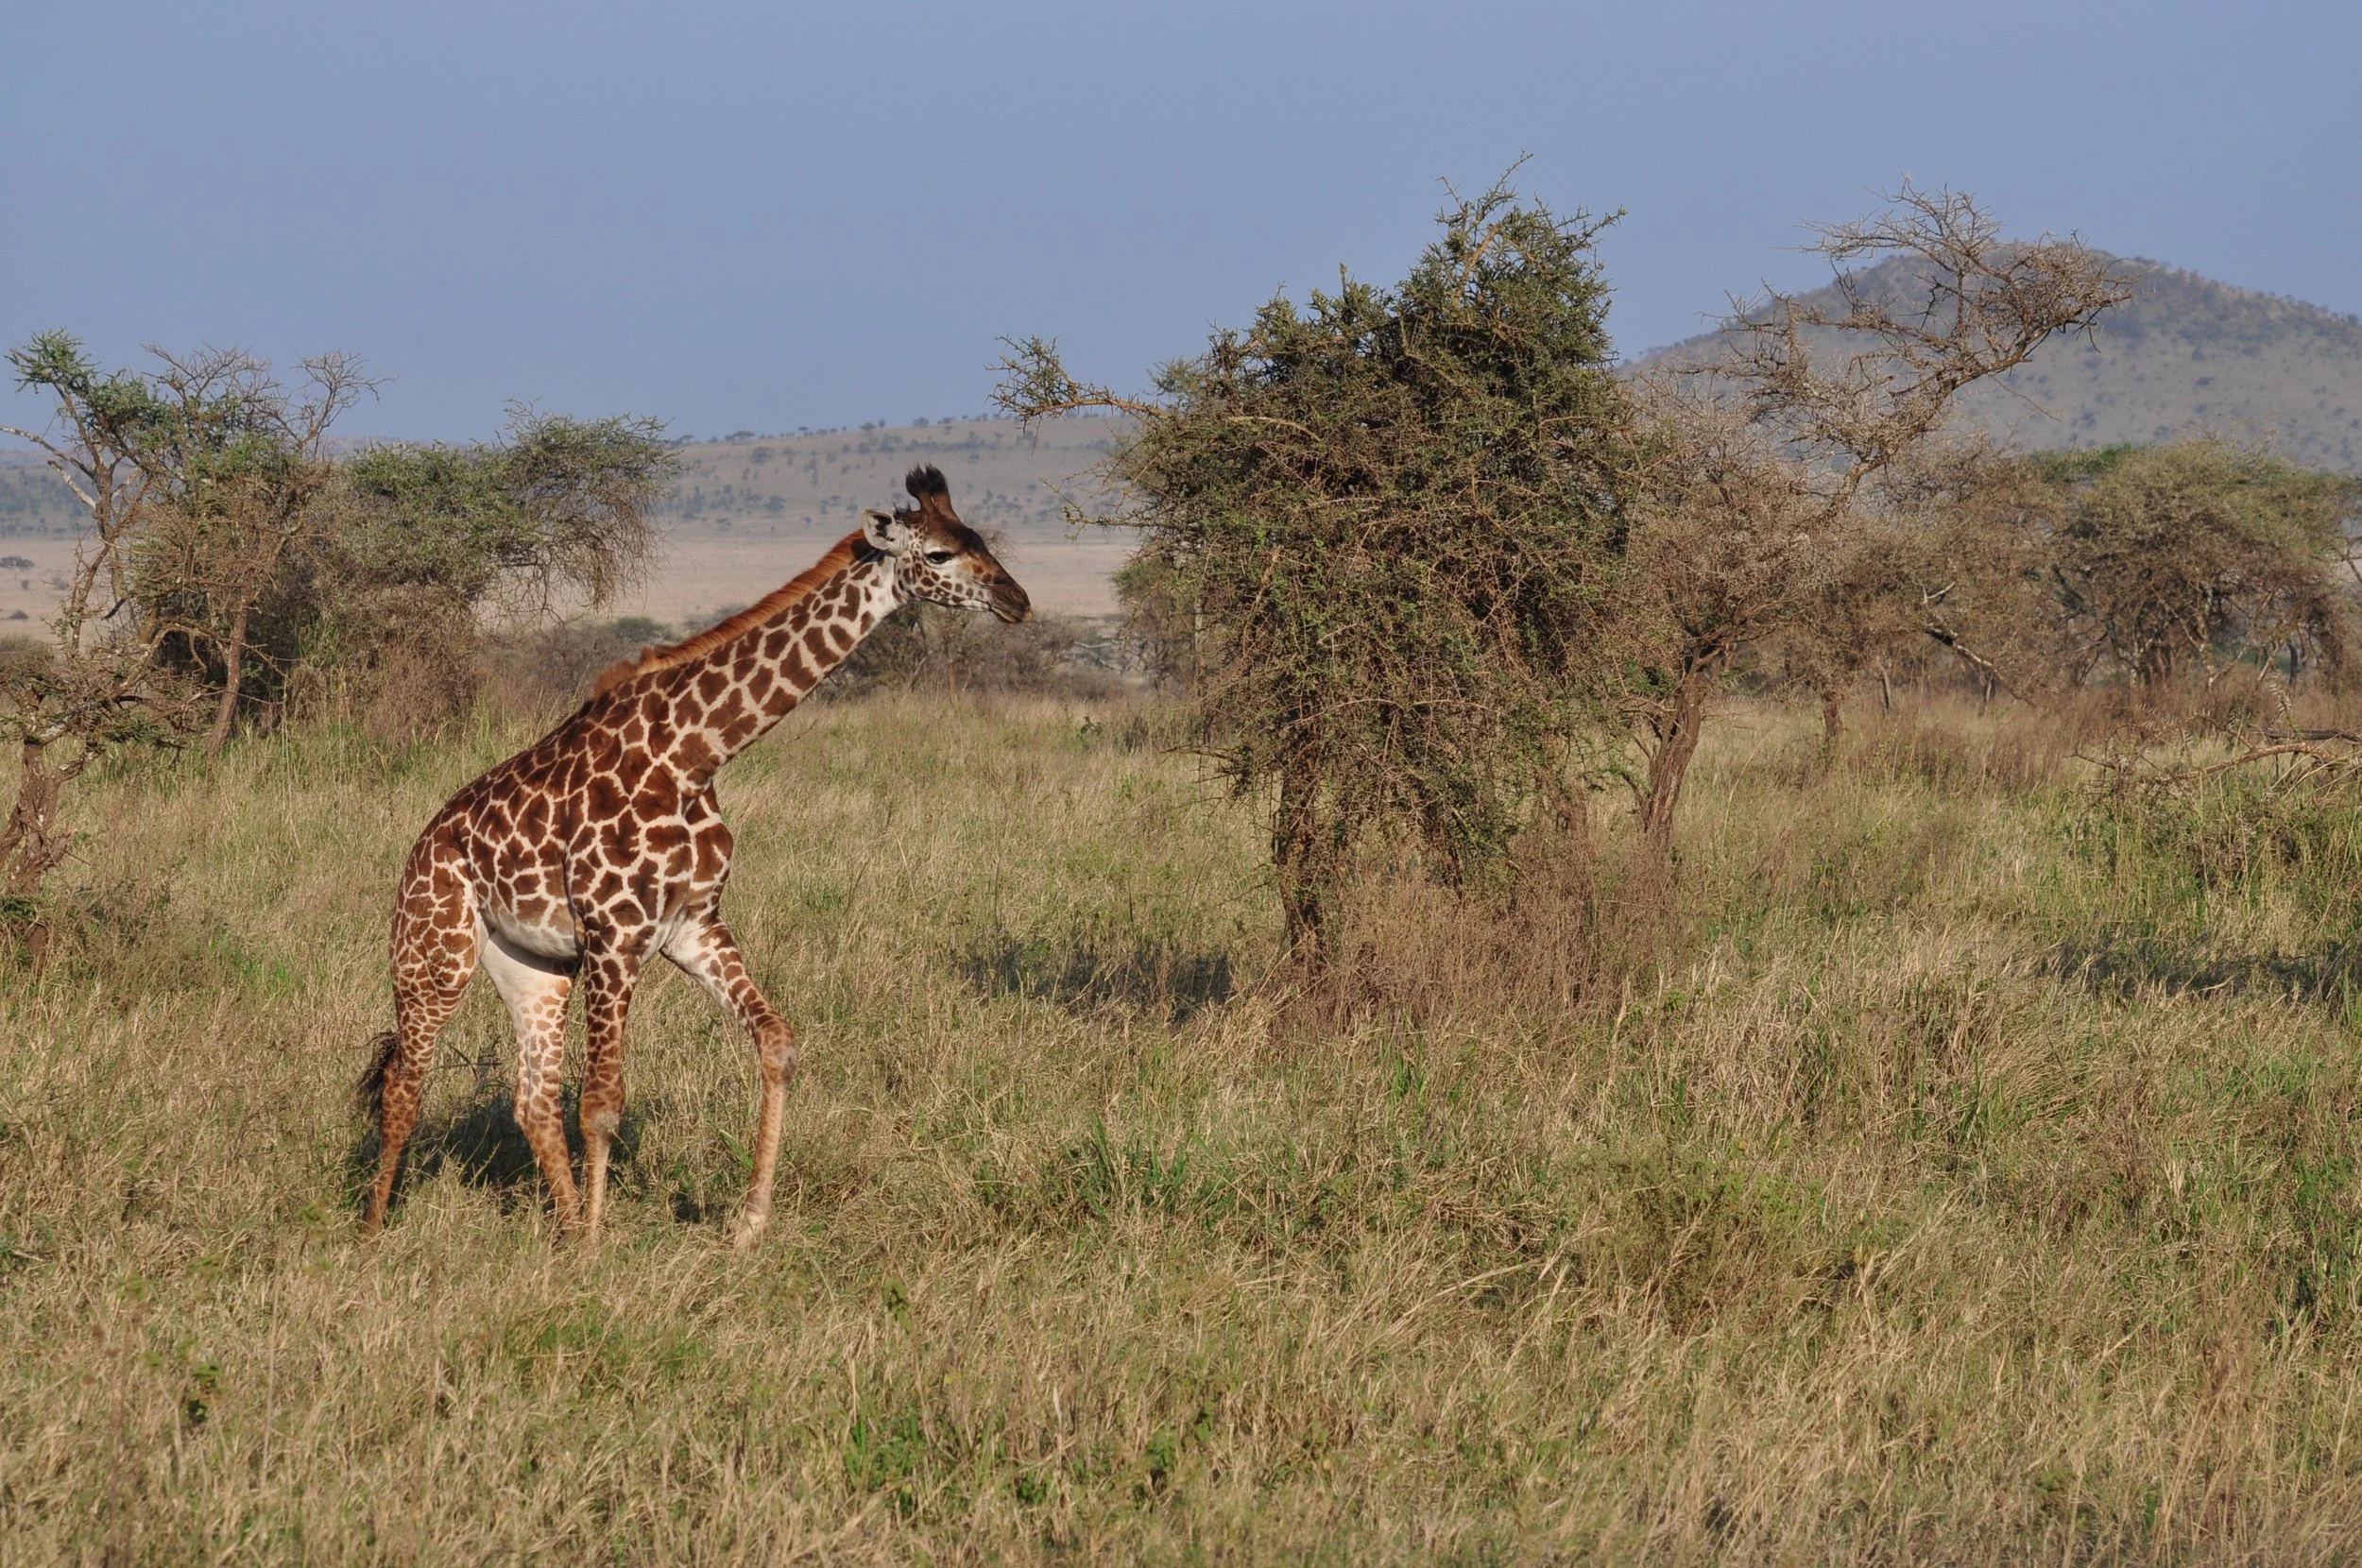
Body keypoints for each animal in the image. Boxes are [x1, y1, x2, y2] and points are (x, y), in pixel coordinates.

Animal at [359, 464, 1029, 1246]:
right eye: (942, 555)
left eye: (979, 538)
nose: (1017, 601)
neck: (696, 755)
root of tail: (418, 850)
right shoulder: (614, 935)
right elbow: (602, 1103)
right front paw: (599, 1250)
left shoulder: (692, 925)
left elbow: (777, 1042)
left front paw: (748, 1224)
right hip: (433, 953)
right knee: (406, 1084)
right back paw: (375, 1234)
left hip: (533, 966)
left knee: (532, 1098)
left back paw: (561, 1228)